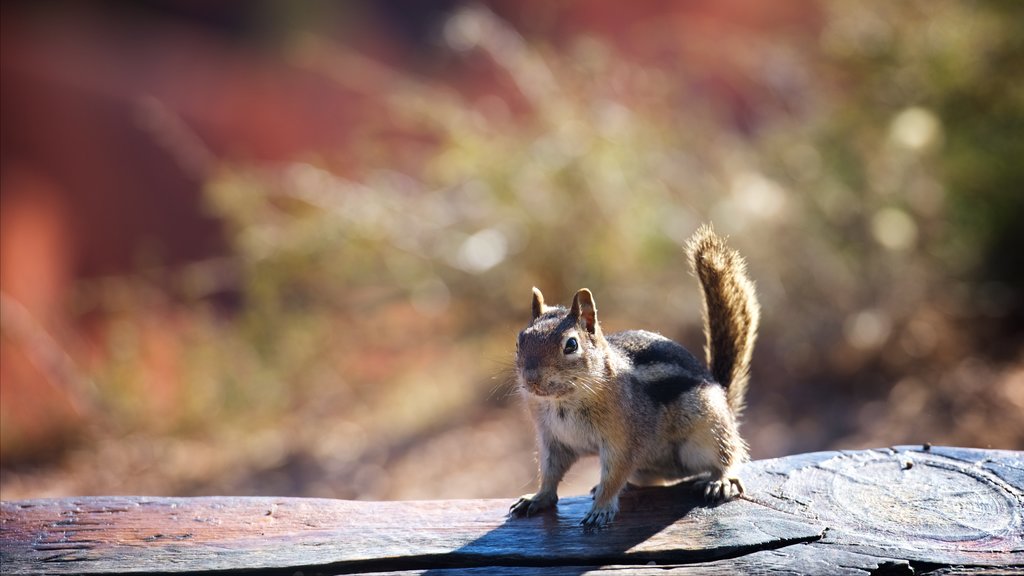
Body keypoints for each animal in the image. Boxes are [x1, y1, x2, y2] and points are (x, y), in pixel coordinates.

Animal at [507, 224, 757, 528]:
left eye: (571, 345)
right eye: (519, 341)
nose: (531, 379)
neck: (563, 402)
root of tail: (723, 395)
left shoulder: (623, 440)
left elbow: (614, 475)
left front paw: (601, 509)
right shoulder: (553, 440)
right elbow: (550, 472)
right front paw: (538, 497)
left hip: (709, 431)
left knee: (727, 454)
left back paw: (721, 481)